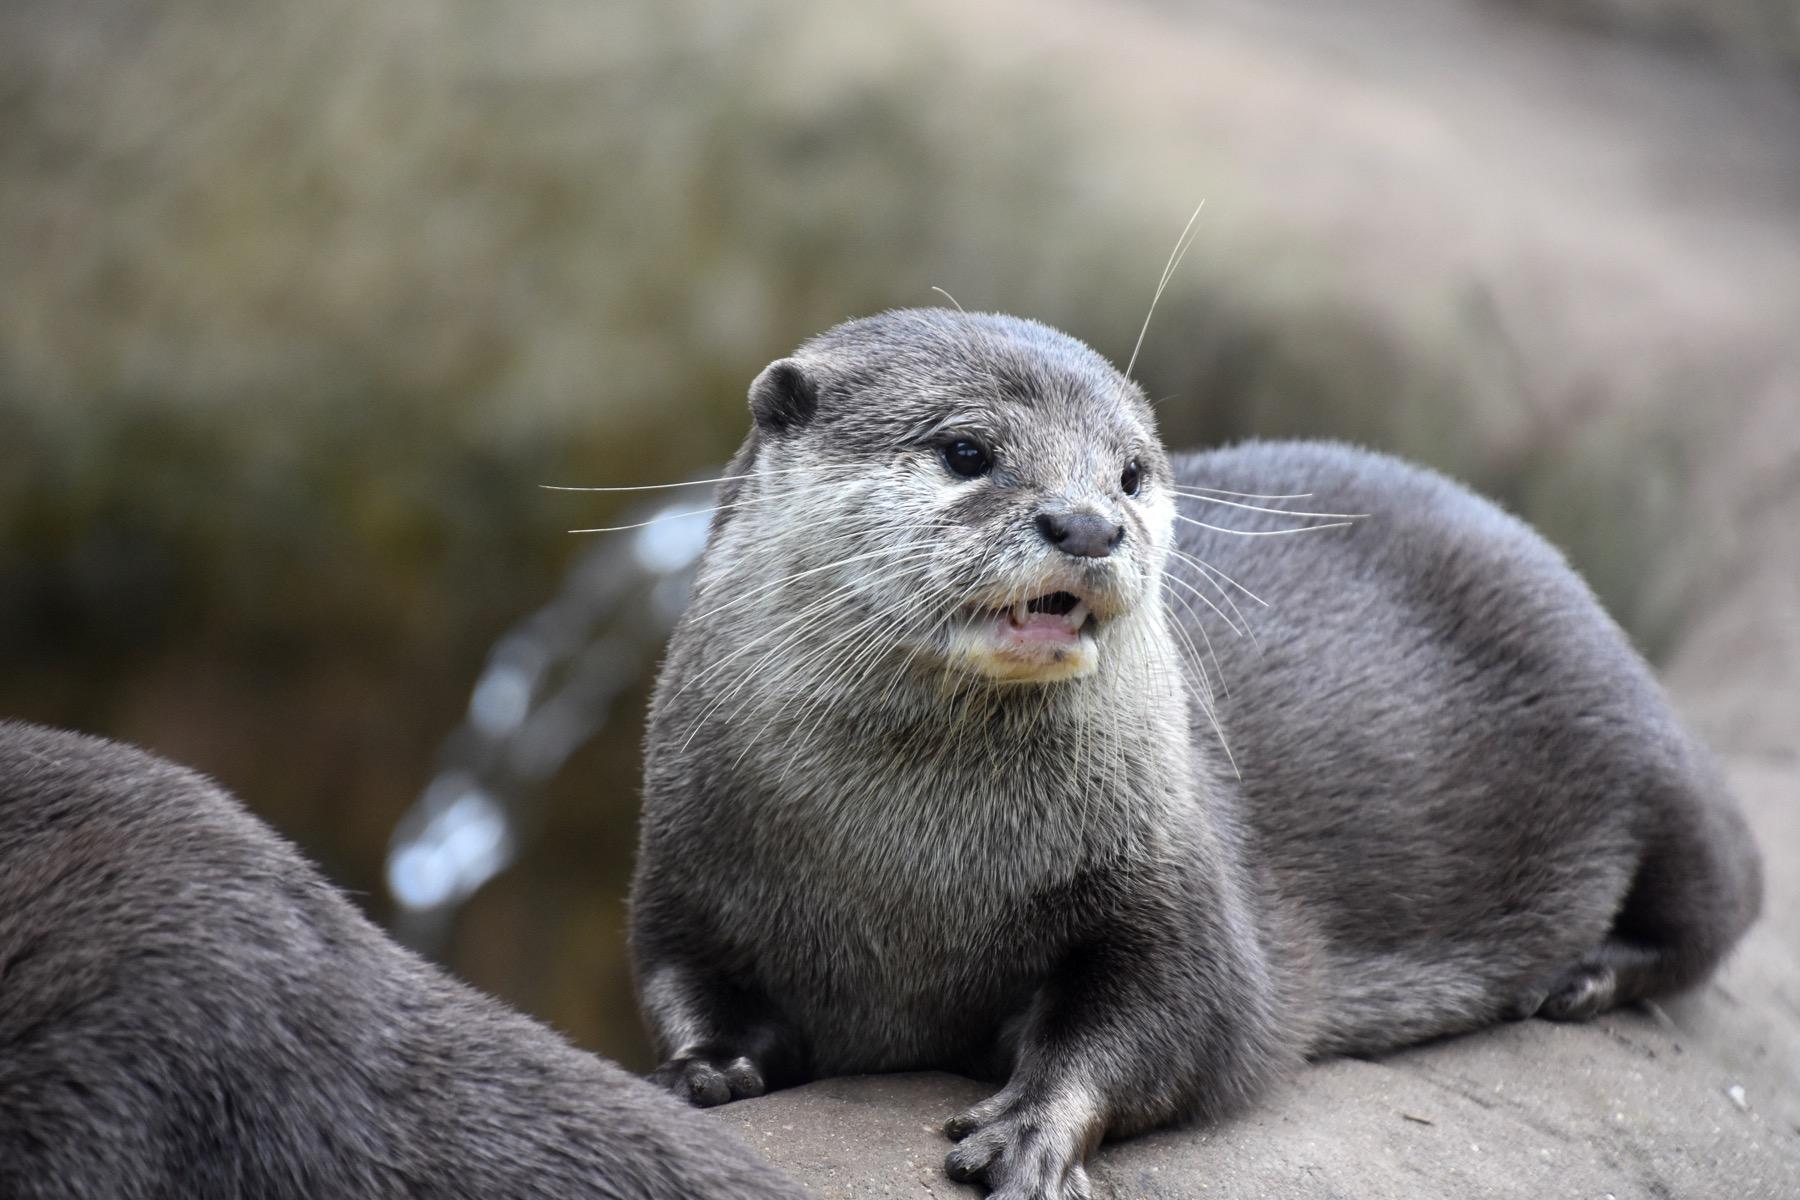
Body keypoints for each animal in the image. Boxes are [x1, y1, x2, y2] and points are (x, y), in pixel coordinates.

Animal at [630, 307, 1756, 1200]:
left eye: (1130, 472)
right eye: (965, 451)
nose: (1087, 522)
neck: (911, 875)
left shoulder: (1174, 872)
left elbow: (1188, 1016)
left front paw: (1031, 1129)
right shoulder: (684, 865)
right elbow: (680, 975)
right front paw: (701, 1070)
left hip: (1640, 743)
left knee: (1728, 898)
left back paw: (1582, 978)